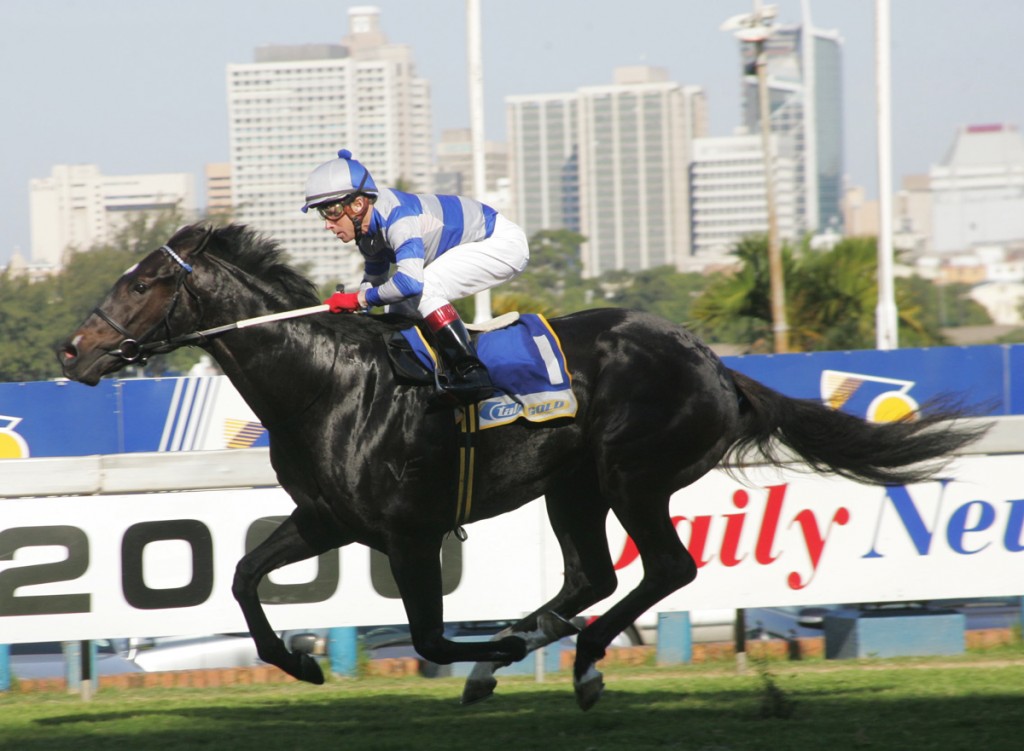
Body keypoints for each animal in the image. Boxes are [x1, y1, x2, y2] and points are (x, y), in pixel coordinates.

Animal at [59, 223, 984, 710]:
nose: (72, 348)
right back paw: (553, 646)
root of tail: (714, 363)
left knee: (663, 568)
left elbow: (428, 631)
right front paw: (300, 660)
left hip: (630, 474)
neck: (330, 383)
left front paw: (492, 646)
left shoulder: (409, 531)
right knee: (592, 576)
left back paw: (576, 658)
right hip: (573, 486)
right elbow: (245, 577)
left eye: (141, 283)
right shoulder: (328, 519)